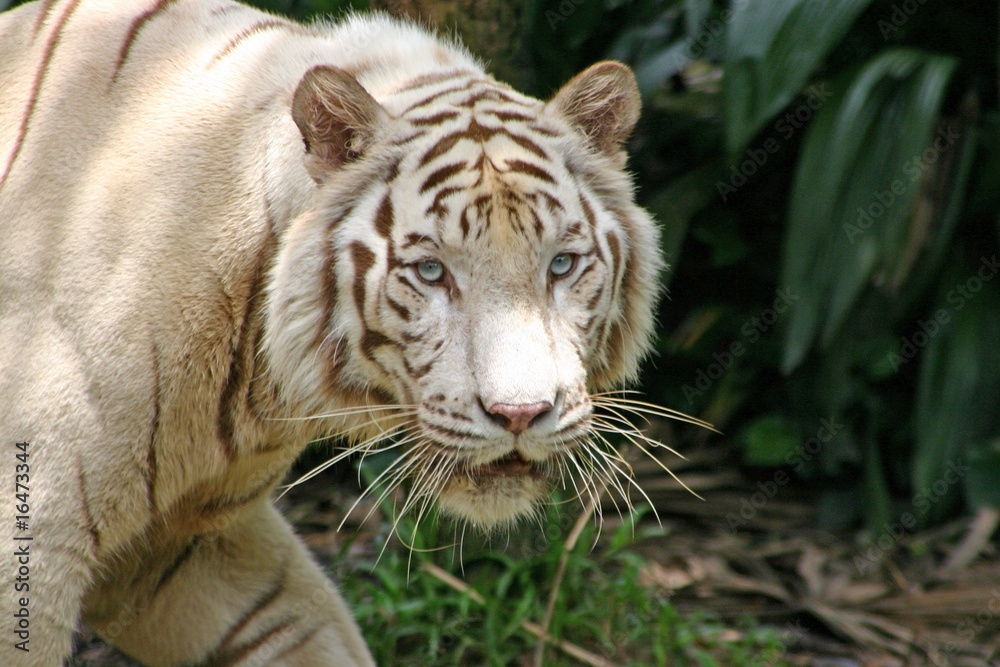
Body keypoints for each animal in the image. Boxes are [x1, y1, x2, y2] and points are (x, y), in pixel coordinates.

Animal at [0, 0, 687, 664]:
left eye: (562, 265)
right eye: (431, 272)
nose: (520, 414)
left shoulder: (186, 545)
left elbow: (308, 628)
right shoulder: (35, 544)